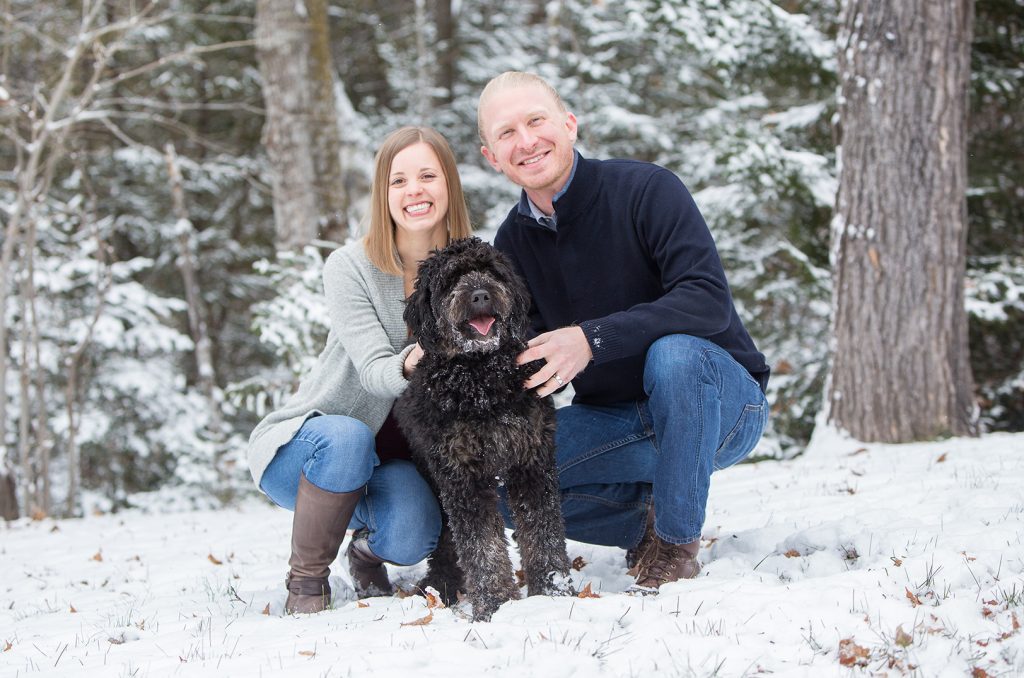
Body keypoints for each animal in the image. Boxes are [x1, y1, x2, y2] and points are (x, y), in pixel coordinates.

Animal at [395, 237, 573, 622]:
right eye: (450, 279)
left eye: (491, 271)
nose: (480, 294)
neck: (481, 378)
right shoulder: (462, 476)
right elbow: (482, 546)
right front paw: (495, 604)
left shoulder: (531, 461)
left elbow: (543, 531)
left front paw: (554, 592)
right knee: (446, 545)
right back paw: (439, 588)